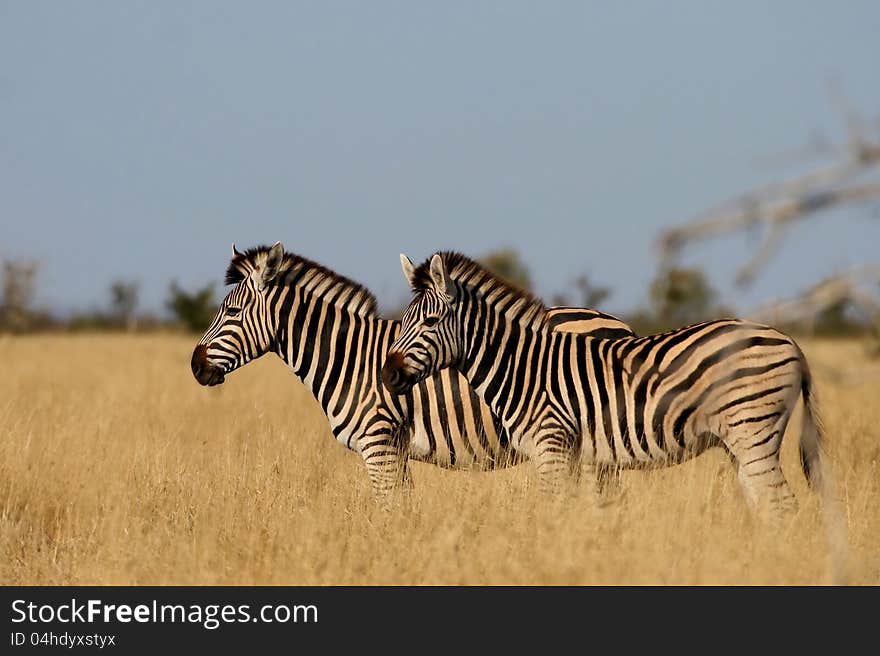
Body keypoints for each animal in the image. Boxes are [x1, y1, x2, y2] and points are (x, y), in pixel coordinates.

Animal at [191, 242, 632, 502]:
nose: (195, 366)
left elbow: (387, 513)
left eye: (232, 311)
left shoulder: (380, 445)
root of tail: (619, 325)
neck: (348, 357)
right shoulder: (396, 452)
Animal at [382, 251, 828, 516]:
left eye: (430, 321)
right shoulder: (568, 454)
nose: (386, 376)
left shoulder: (552, 445)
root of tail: (790, 341)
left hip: (753, 432)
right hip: (740, 441)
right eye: (402, 321)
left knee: (782, 503)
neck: (521, 366)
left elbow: (554, 512)